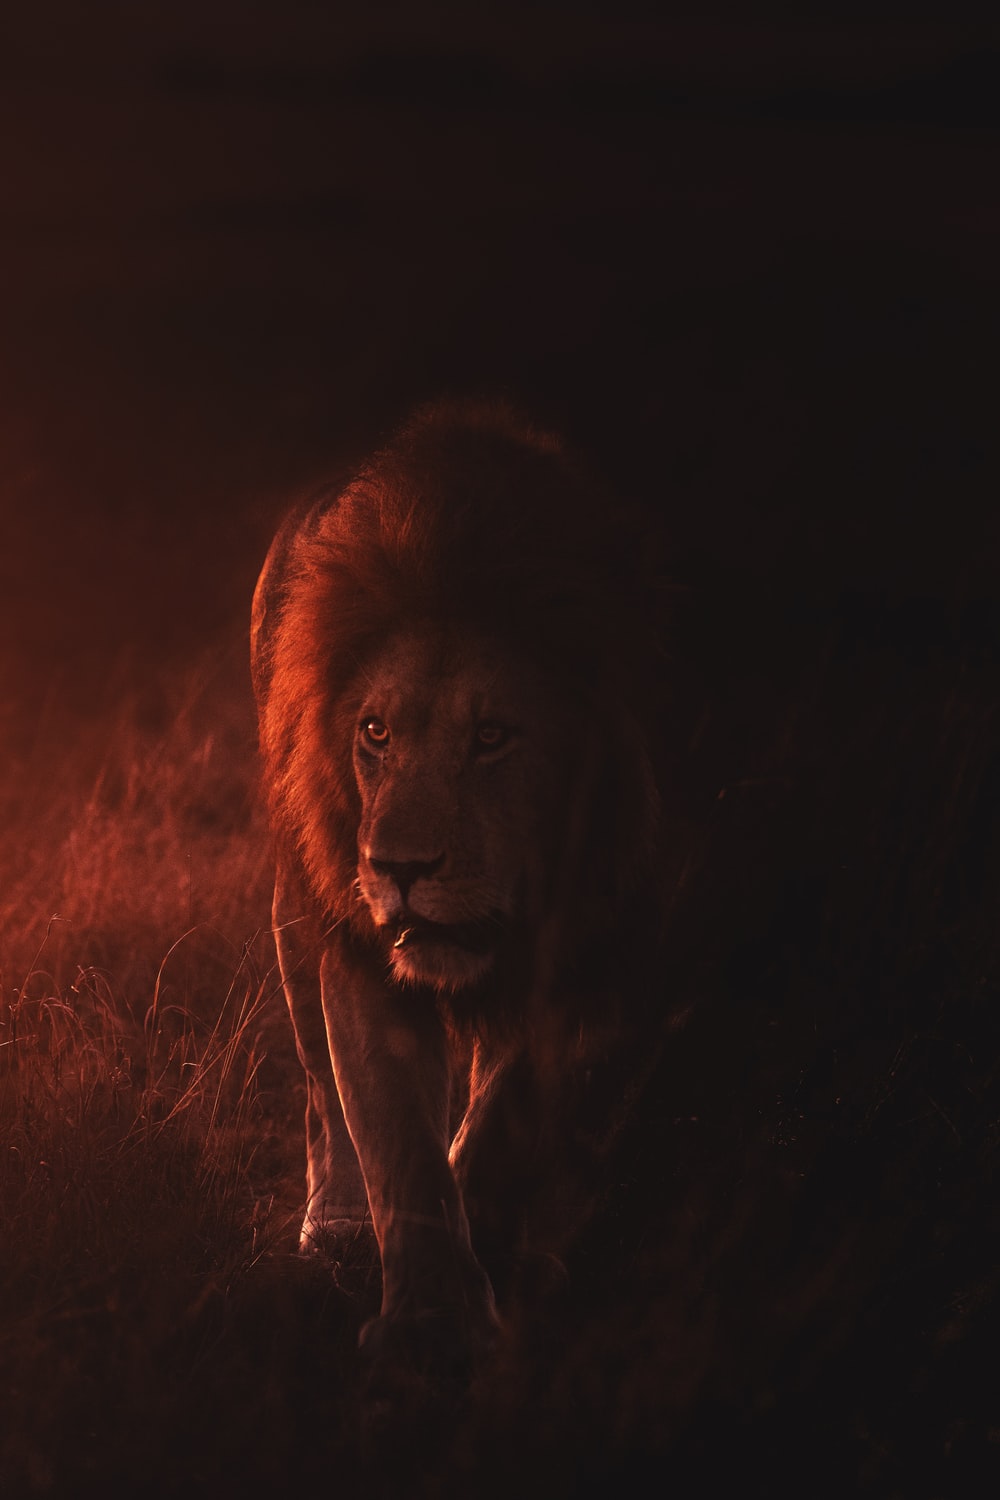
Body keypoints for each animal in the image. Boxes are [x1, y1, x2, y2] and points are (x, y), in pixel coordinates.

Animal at [251, 399, 664, 1388]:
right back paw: (337, 1225)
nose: (399, 868)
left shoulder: (611, 943)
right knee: (322, 1092)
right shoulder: (363, 953)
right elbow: (395, 1135)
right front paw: (431, 1321)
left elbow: (513, 1111)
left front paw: (497, 1243)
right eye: (374, 732)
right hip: (300, 906)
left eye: (491, 736)